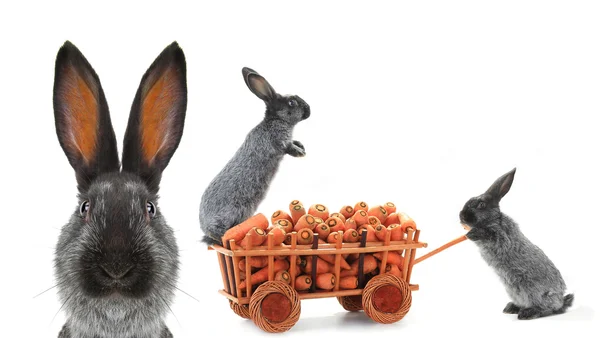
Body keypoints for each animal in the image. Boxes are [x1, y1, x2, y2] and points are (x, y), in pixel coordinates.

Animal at [200, 67, 312, 244]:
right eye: (291, 102)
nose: (309, 110)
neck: (277, 120)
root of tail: (205, 228)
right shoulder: (279, 142)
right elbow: (288, 147)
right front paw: (300, 153)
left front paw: (302, 146)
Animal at [462, 169, 576, 320]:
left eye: (481, 205)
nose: (462, 217)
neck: (493, 220)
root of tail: (561, 301)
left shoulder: (503, 238)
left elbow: (491, 235)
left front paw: (473, 233)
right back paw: (511, 308)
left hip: (534, 291)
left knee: (546, 309)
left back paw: (527, 313)